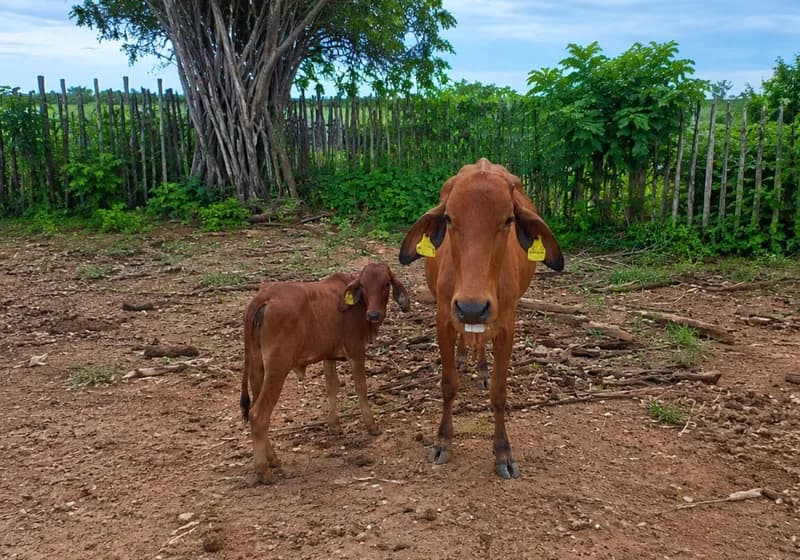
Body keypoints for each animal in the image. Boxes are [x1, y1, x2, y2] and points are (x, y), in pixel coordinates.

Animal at [240, 263, 410, 483]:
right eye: (363, 285)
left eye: (387, 284)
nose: (373, 315)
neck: (357, 304)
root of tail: (265, 296)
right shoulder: (356, 350)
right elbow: (361, 387)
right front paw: (371, 425)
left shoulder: (328, 355)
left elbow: (332, 386)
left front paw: (334, 425)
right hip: (277, 368)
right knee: (258, 414)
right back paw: (264, 471)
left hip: (257, 368)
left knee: (256, 409)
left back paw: (273, 459)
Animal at [399, 158, 563, 479]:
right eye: (449, 218)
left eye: (508, 220)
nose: (472, 307)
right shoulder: (444, 317)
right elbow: (448, 384)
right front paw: (442, 442)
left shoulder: (506, 325)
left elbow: (500, 392)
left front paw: (503, 453)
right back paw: (465, 357)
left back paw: (483, 369)